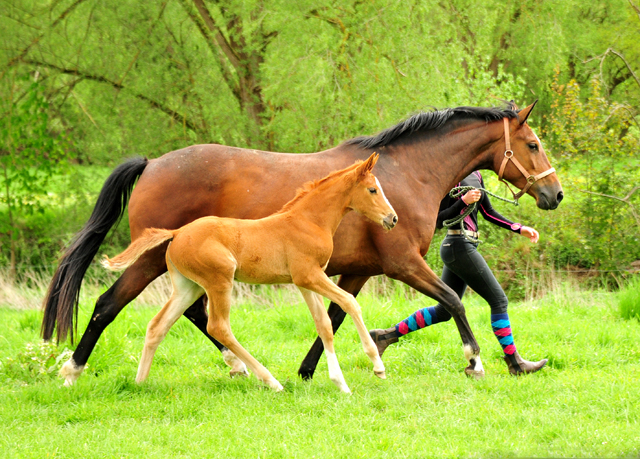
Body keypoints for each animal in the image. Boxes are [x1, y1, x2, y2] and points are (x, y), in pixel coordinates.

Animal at [101, 153, 396, 394]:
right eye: (372, 189)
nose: (392, 219)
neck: (308, 221)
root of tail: (177, 233)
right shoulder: (310, 276)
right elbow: (349, 302)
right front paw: (377, 366)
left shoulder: (305, 282)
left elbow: (323, 324)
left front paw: (340, 383)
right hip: (220, 279)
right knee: (218, 327)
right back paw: (270, 381)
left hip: (187, 287)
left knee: (157, 326)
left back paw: (140, 383)